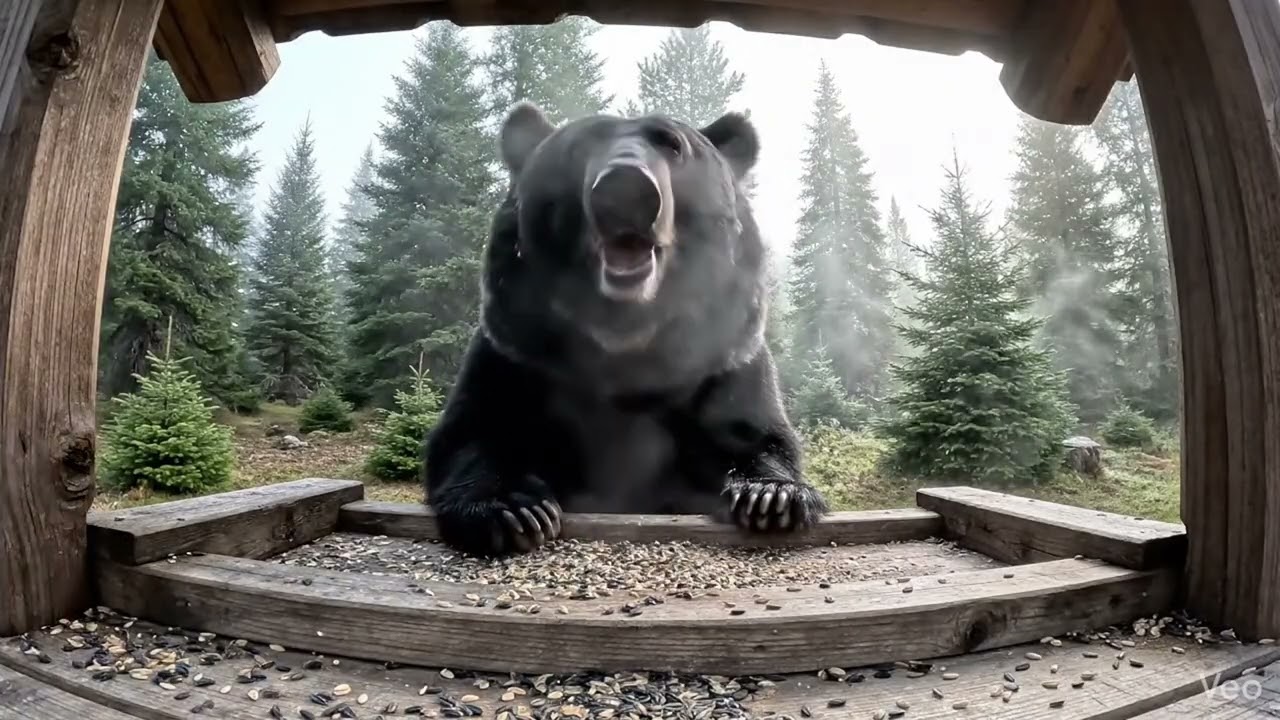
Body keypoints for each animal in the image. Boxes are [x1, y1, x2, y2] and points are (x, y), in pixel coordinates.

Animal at [422, 101, 829, 557]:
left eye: (673, 144)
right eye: (580, 147)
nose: (626, 188)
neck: (627, 341)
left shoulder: (725, 358)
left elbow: (756, 435)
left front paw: (772, 497)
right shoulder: (517, 352)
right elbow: (474, 430)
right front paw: (513, 510)